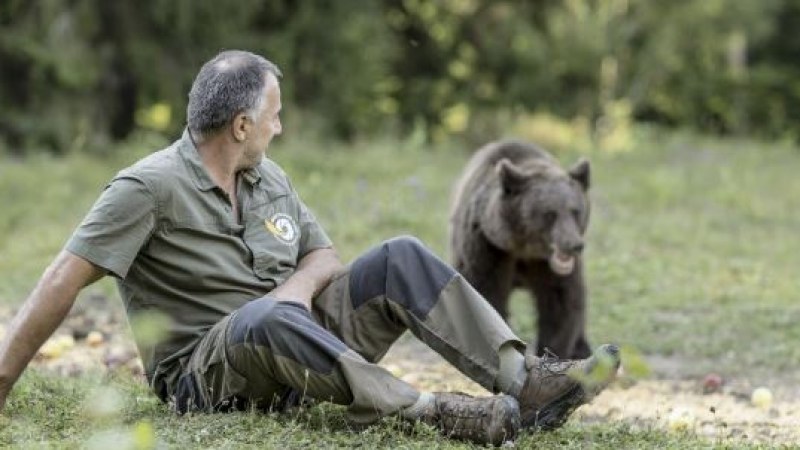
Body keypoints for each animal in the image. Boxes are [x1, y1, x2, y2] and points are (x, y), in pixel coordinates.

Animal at [450, 141, 592, 358]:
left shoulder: (546, 266)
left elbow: (561, 302)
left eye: (575, 211)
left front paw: (551, 352)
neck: (523, 249)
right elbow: (486, 293)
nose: (573, 245)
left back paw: (582, 348)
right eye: (550, 213)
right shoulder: (488, 246)